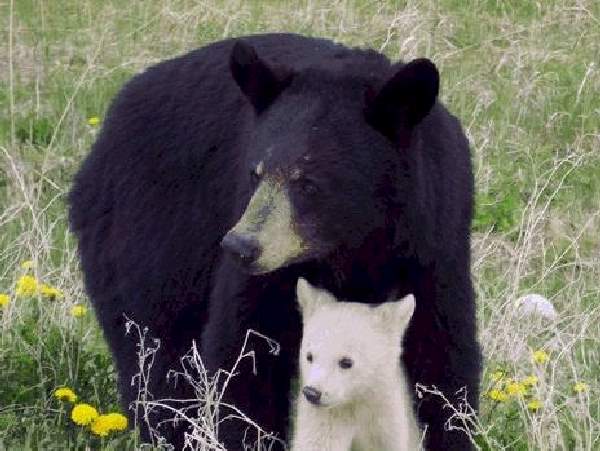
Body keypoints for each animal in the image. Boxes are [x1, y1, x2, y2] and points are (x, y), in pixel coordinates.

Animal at [69, 32, 482, 451]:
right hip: (147, 236)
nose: (240, 246)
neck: (355, 244)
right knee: (155, 352)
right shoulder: (268, 269)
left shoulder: (433, 243)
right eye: (256, 173)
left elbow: (442, 357)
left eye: (309, 183)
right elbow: (246, 353)